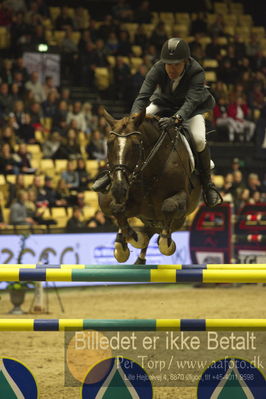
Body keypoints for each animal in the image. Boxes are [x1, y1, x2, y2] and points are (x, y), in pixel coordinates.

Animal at [98, 109, 202, 266]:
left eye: (136, 145)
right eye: (109, 144)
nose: (118, 189)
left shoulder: (183, 200)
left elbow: (168, 206)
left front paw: (165, 243)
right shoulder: (136, 206)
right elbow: (117, 209)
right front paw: (131, 239)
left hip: (180, 218)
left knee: (160, 227)